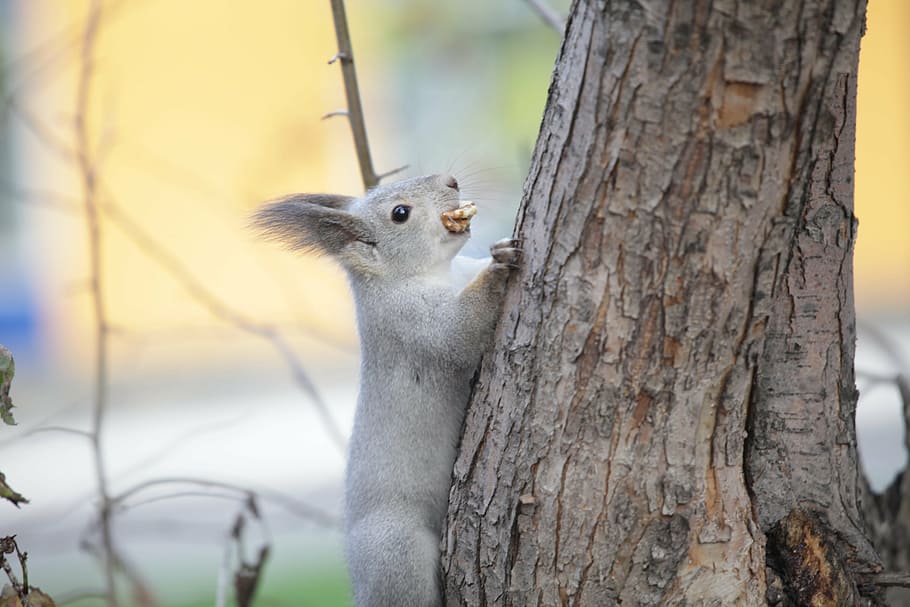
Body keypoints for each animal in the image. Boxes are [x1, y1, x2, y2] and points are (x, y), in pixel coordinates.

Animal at [253, 174, 519, 606]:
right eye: (400, 213)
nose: (451, 180)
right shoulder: (412, 323)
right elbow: (459, 333)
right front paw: (499, 266)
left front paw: (496, 248)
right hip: (398, 550)